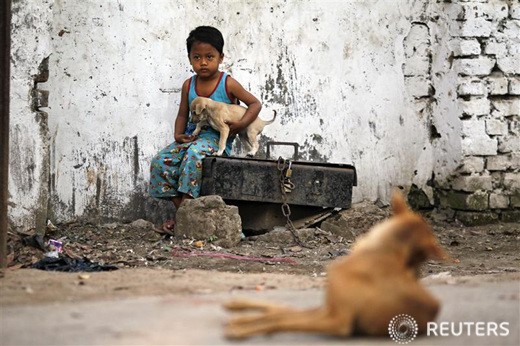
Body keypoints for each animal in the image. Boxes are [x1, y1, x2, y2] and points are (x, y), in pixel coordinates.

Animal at [222, 192, 446, 340]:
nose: (414, 274)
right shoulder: (330, 312)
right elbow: (281, 315)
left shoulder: (338, 321)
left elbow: (281, 319)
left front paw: (242, 328)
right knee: (281, 308)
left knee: (282, 311)